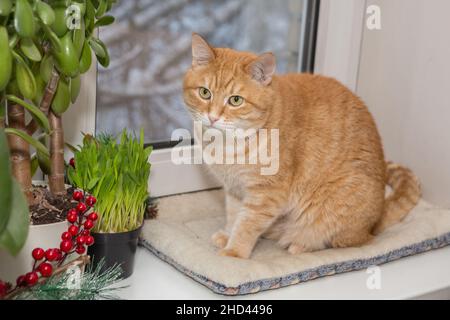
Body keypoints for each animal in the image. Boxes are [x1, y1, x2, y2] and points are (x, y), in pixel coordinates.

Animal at [183, 33, 422, 258]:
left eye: (235, 100)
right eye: (204, 92)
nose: (212, 117)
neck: (226, 144)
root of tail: (377, 219)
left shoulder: (267, 194)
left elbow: (247, 224)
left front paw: (234, 252)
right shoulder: (235, 189)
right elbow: (234, 216)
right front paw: (228, 234)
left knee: (341, 240)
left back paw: (299, 245)